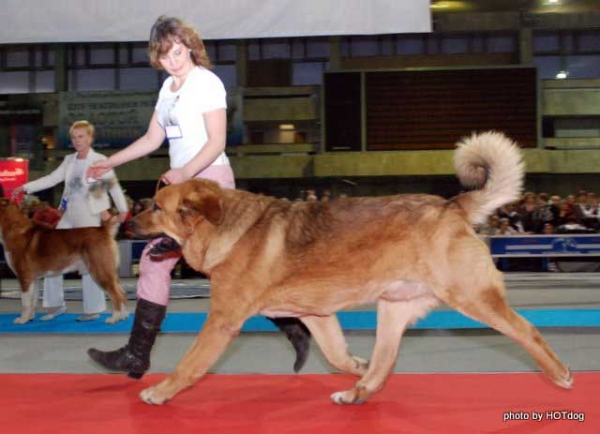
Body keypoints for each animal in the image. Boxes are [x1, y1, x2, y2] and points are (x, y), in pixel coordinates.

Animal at [0, 202, 129, 324]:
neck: (15, 229)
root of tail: (104, 230)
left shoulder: (24, 277)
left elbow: (25, 301)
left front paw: (22, 320)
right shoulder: (34, 279)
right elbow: (33, 300)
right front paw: (30, 318)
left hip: (101, 271)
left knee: (116, 295)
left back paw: (114, 318)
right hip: (110, 272)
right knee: (122, 293)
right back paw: (123, 316)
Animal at [127, 132, 572, 406]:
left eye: (156, 207)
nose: (125, 225)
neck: (227, 228)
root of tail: (451, 205)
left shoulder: (222, 321)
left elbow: (189, 364)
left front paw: (160, 392)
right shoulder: (316, 316)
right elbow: (337, 355)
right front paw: (355, 367)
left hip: (472, 298)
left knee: (528, 331)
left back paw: (561, 373)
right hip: (393, 308)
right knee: (384, 362)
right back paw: (358, 391)